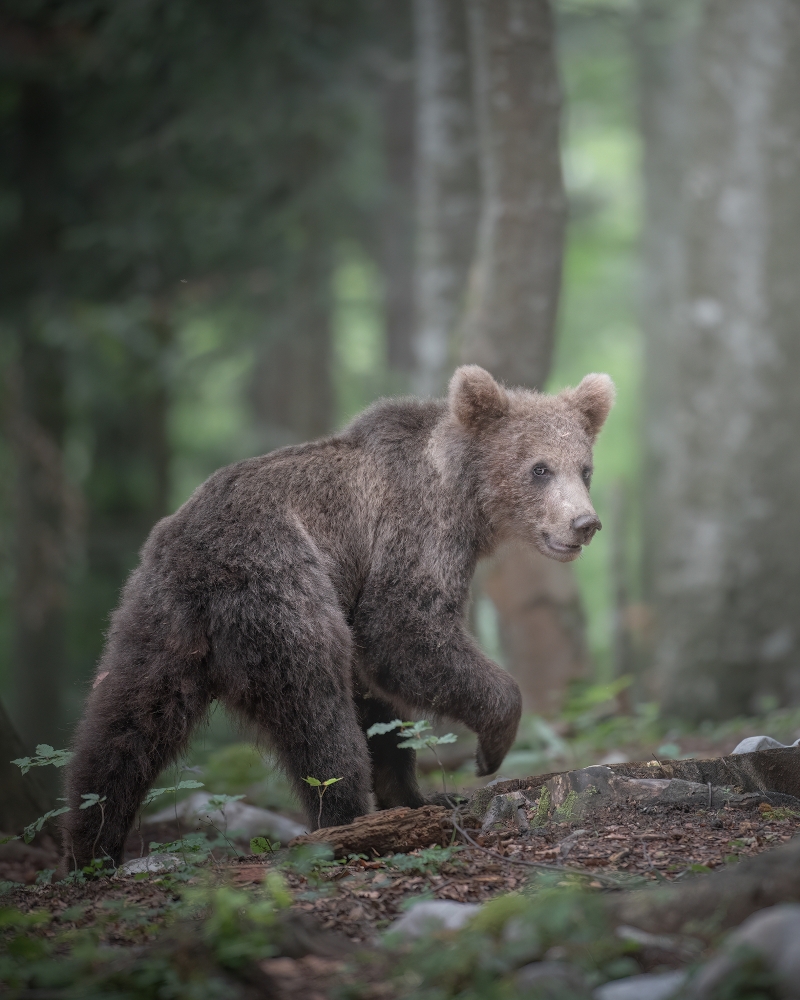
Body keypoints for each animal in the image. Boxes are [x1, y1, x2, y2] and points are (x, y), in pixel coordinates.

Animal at [60, 365, 614, 871]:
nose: (584, 523)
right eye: (540, 468)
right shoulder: (414, 532)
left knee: (122, 727)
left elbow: (381, 706)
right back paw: (347, 823)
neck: (465, 497)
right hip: (281, 591)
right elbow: (400, 631)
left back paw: (93, 846)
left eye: (584, 468)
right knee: (318, 713)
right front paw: (489, 750)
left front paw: (419, 795)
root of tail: (199, 565)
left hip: (155, 618)